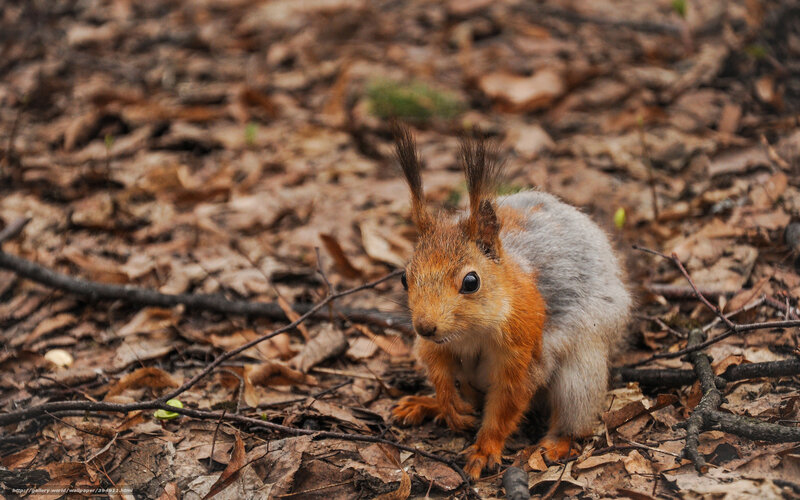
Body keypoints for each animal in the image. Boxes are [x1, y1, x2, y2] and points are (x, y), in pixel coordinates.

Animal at [390, 125, 631, 480]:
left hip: (581, 372)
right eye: (404, 278)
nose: (425, 327)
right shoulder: (435, 346)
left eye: (471, 282)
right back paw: (427, 404)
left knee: (575, 415)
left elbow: (506, 405)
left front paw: (484, 450)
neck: (470, 332)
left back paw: (555, 444)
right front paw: (446, 404)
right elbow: (437, 368)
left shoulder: (523, 351)